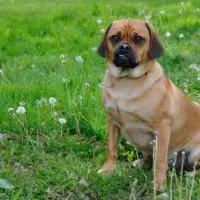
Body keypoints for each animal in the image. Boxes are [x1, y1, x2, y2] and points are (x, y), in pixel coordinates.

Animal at [96, 19, 200, 191]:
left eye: (138, 39)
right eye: (115, 37)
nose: (124, 47)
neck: (126, 81)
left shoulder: (162, 128)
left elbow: (160, 162)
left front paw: (159, 185)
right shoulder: (112, 122)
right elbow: (111, 150)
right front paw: (107, 170)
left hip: (194, 153)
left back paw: (191, 174)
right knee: (149, 157)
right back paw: (142, 162)